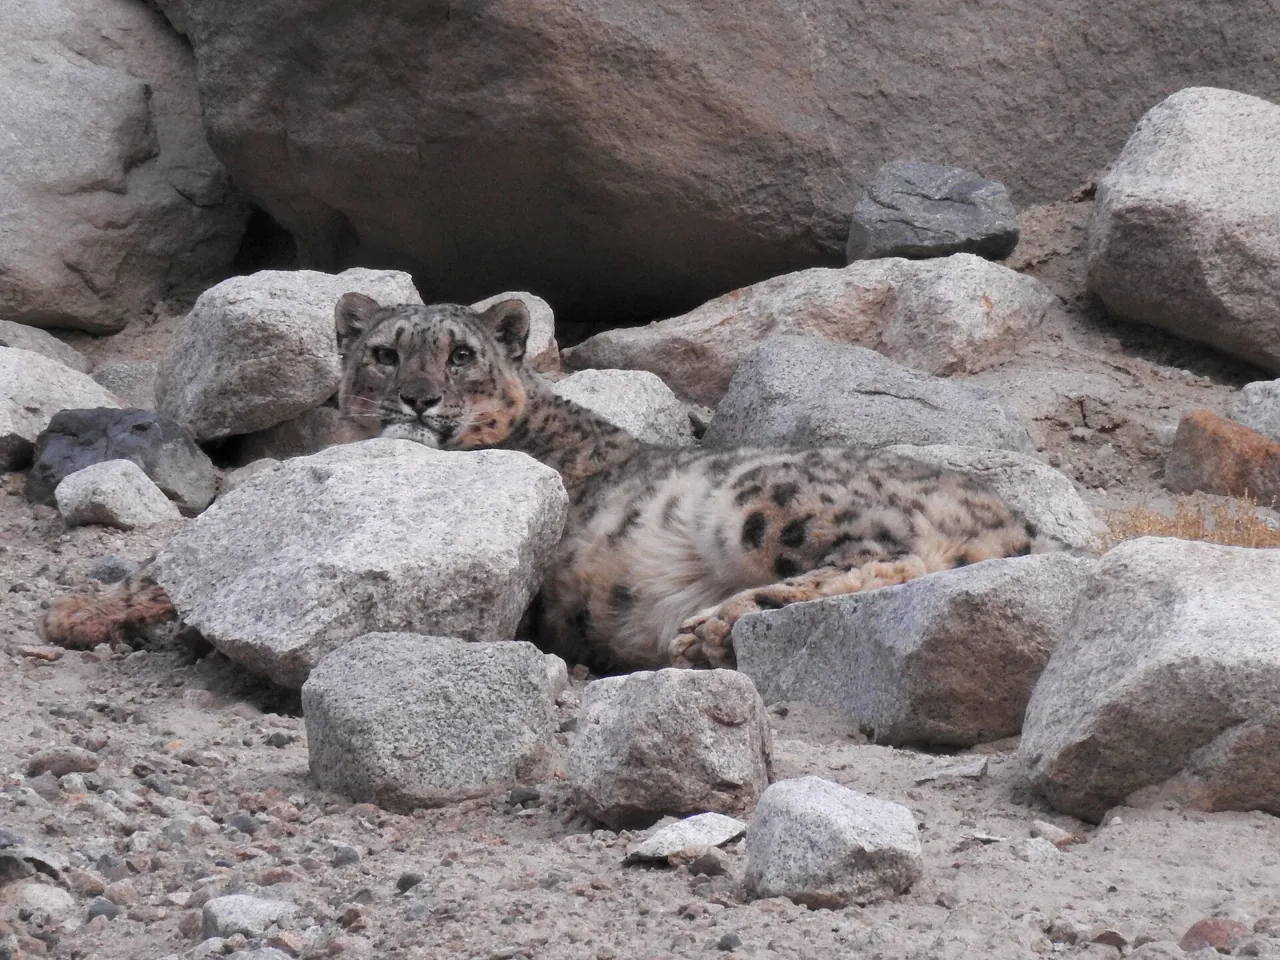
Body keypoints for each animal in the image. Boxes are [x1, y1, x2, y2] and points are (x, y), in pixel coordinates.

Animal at [44, 293, 1054, 672]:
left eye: (459, 355)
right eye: (383, 352)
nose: (416, 399)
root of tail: (1007, 514)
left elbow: (177, 571)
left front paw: (82, 609)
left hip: (769, 502)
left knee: (884, 558)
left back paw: (717, 624)